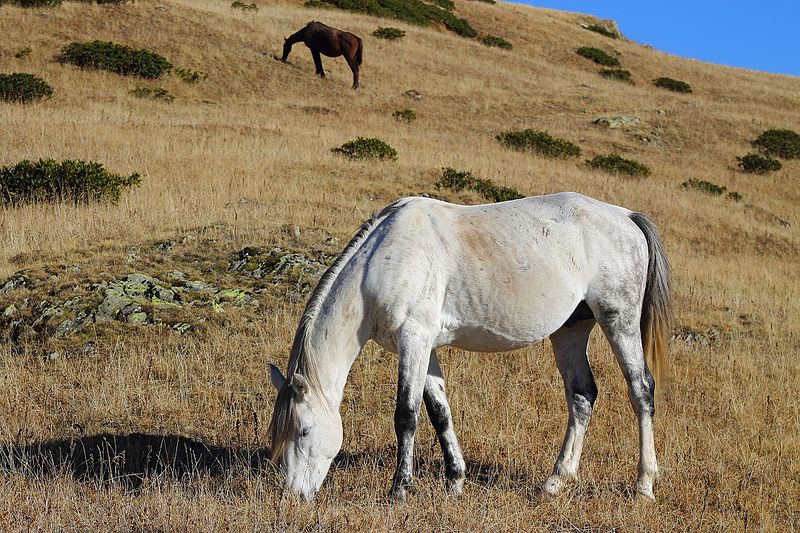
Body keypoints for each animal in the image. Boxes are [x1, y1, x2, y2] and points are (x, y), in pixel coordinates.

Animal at [268, 193, 668, 500]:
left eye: (303, 430)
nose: (294, 495)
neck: (381, 261)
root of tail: (626, 217)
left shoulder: (414, 339)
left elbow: (406, 416)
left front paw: (399, 490)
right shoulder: (424, 347)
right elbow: (439, 413)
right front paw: (455, 482)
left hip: (619, 320)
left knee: (641, 391)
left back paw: (644, 485)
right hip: (571, 330)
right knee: (582, 395)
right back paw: (555, 482)